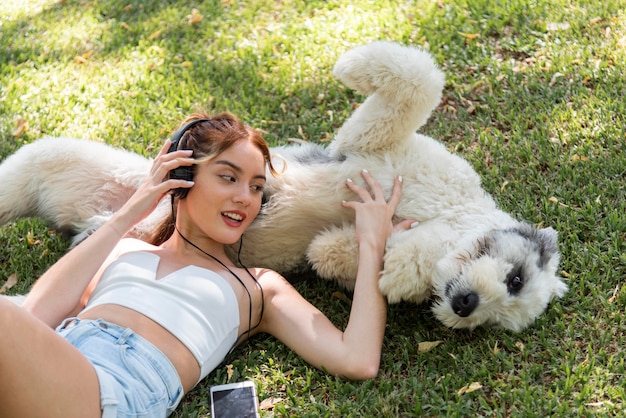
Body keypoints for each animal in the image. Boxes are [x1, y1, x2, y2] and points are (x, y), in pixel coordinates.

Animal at [0, 40, 564, 332]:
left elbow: (337, 253)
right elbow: (418, 81)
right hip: (49, 164)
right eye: (516, 277)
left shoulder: (355, 244)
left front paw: (398, 271)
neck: (443, 215)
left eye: (499, 316)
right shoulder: (370, 144)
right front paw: (351, 66)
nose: (464, 306)